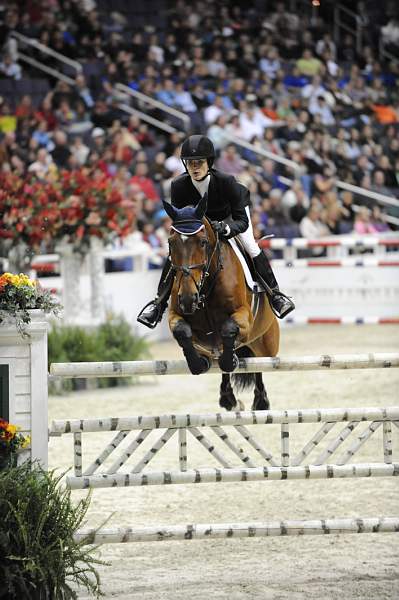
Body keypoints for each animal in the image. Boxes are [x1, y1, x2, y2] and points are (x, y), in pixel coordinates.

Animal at [162, 195, 278, 410]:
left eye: (202, 242)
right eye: (170, 243)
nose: (188, 299)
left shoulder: (244, 317)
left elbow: (228, 329)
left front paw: (230, 361)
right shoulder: (175, 314)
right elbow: (182, 331)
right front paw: (198, 363)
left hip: (267, 344)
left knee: (260, 365)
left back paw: (260, 401)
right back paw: (227, 397)